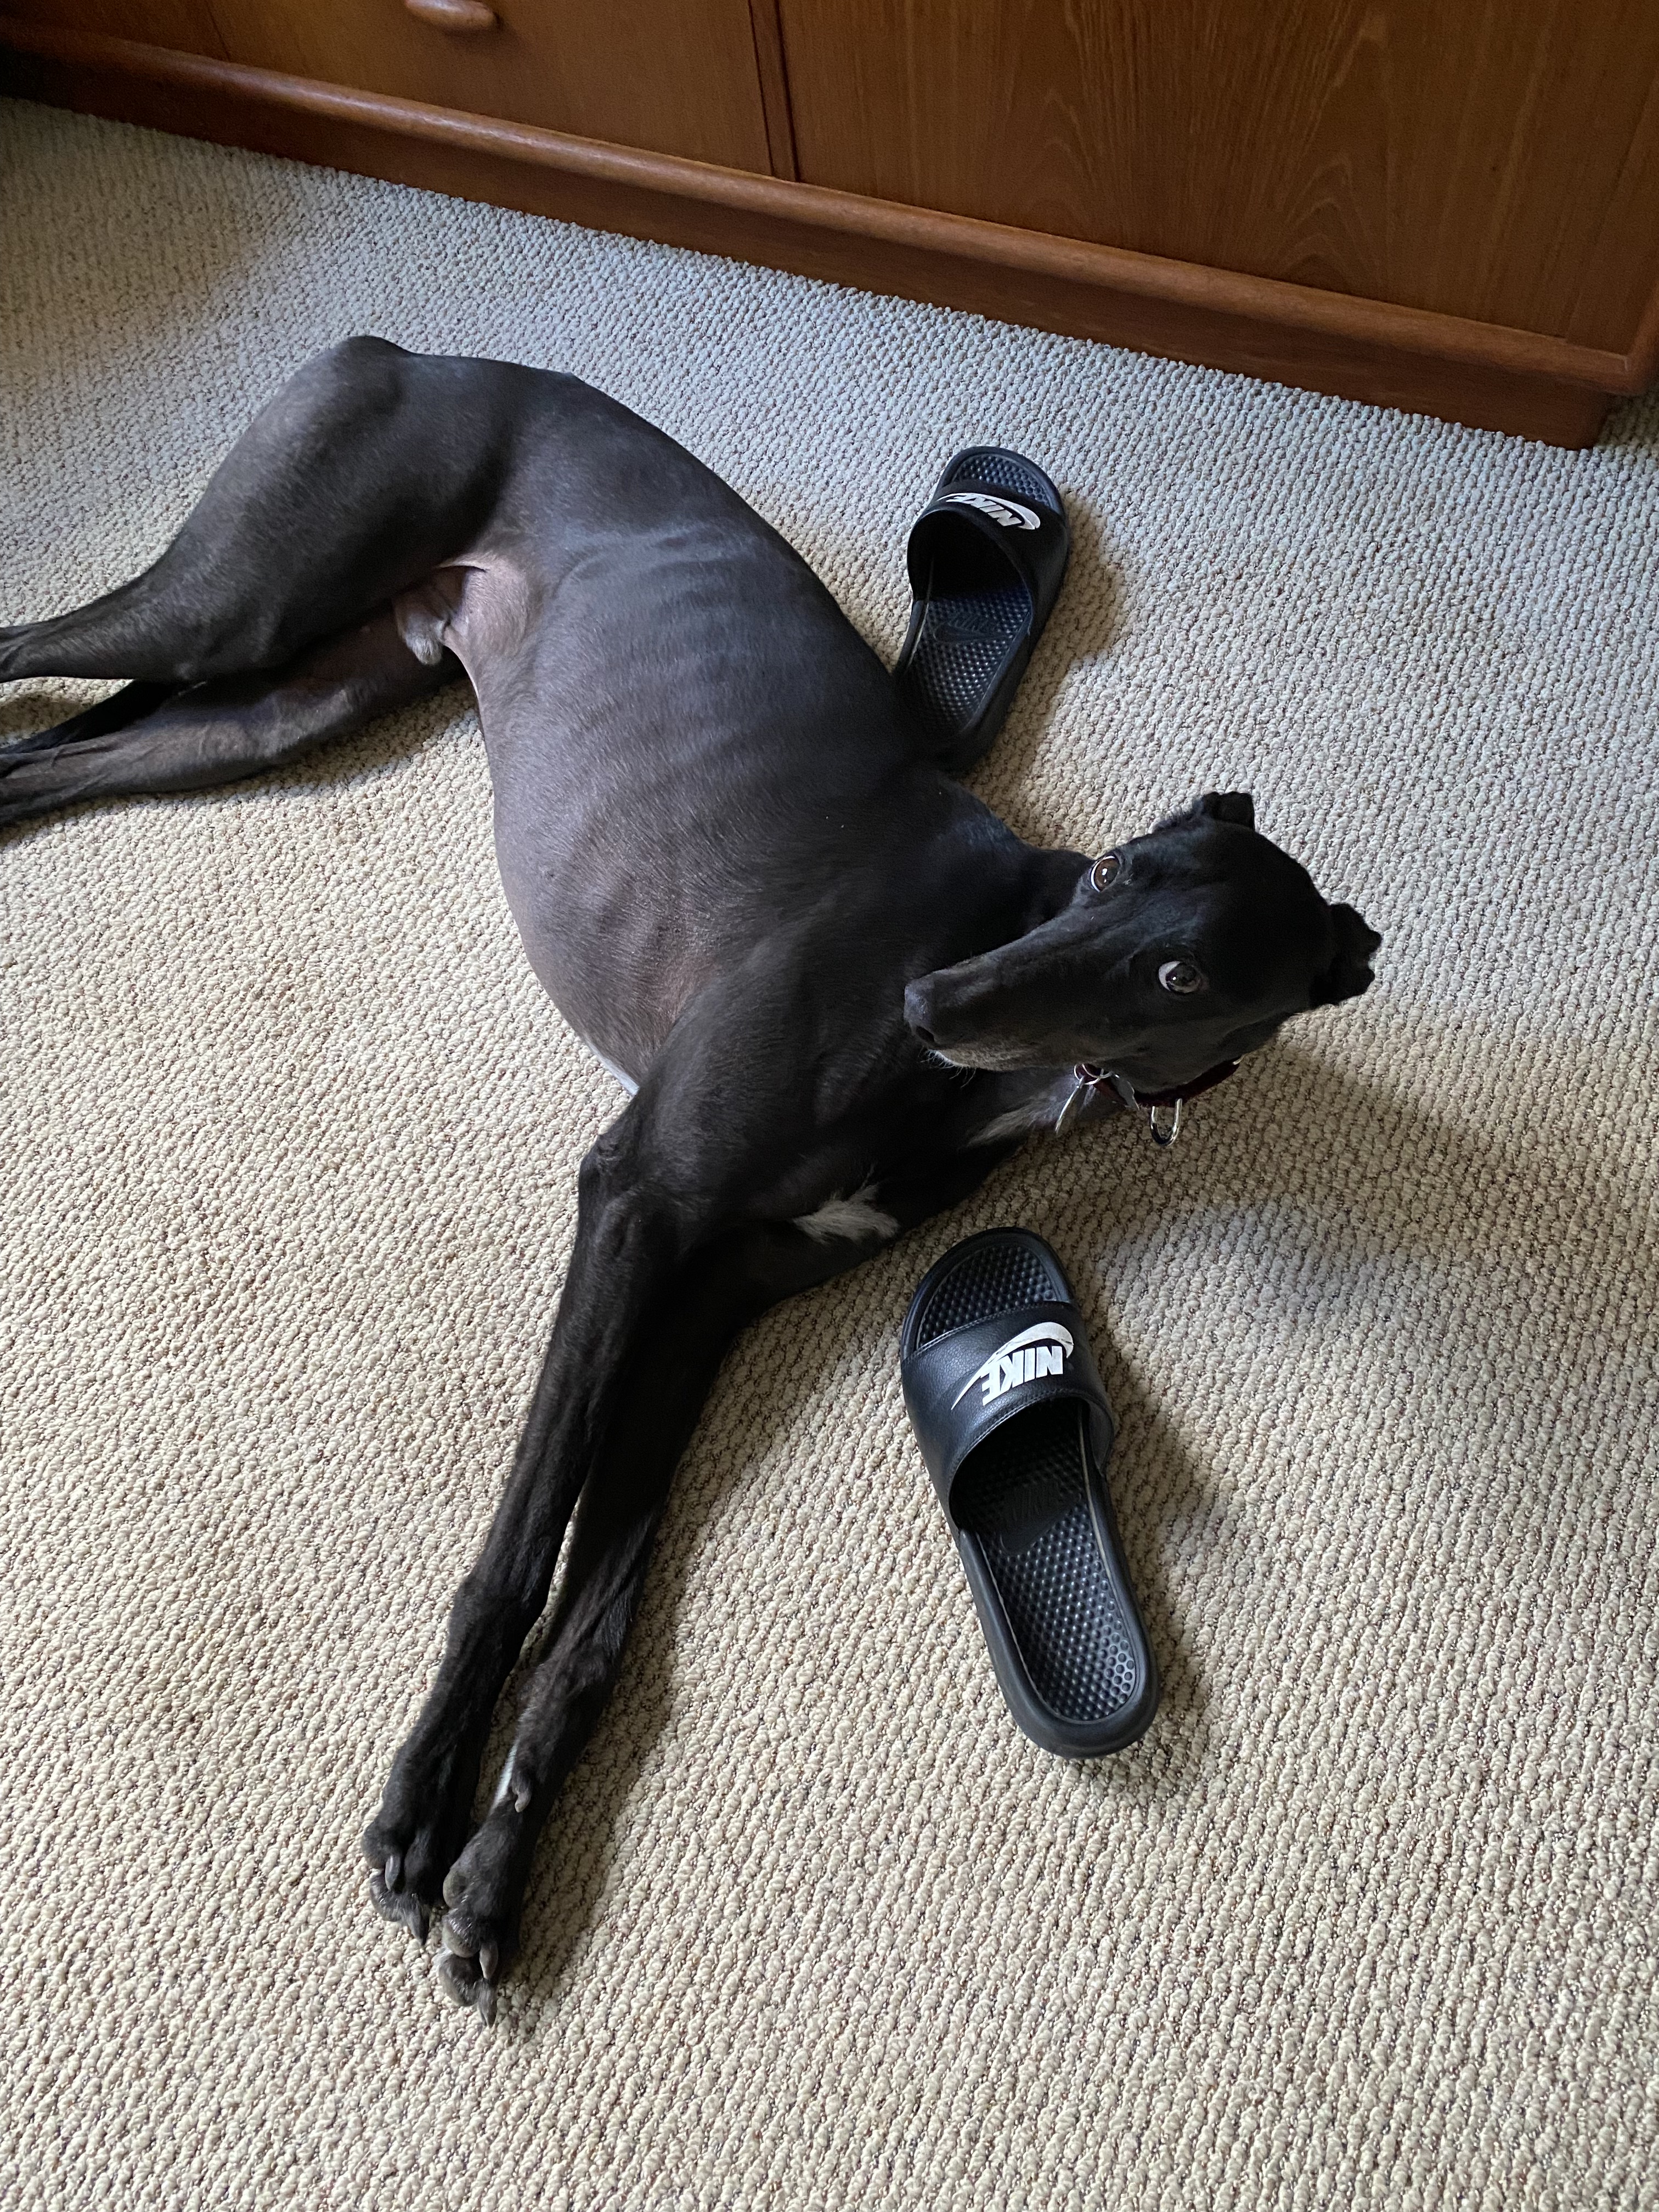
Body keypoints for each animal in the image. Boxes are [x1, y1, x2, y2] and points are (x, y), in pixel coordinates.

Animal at [1, 339, 1381, 2017]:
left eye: (1179, 972)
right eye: (1116, 871)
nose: (932, 1003)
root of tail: (422, 352)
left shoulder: (712, 1292)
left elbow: (599, 1618)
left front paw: (501, 1868)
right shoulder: (637, 1196)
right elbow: (520, 1560)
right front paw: (419, 1807)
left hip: (286, 702)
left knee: (46, 758)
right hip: (241, 602)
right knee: (33, 650)